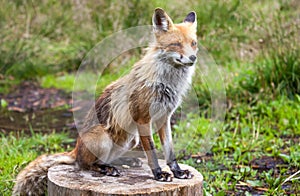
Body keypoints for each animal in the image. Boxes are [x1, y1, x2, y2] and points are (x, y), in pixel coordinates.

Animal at [12, 8, 198, 195]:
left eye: (193, 43)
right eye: (176, 44)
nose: (193, 58)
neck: (167, 82)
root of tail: (75, 151)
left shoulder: (163, 118)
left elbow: (169, 151)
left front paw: (177, 172)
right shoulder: (143, 118)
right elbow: (152, 152)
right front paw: (159, 174)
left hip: (131, 139)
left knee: (105, 159)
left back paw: (124, 162)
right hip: (103, 137)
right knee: (85, 165)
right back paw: (105, 168)